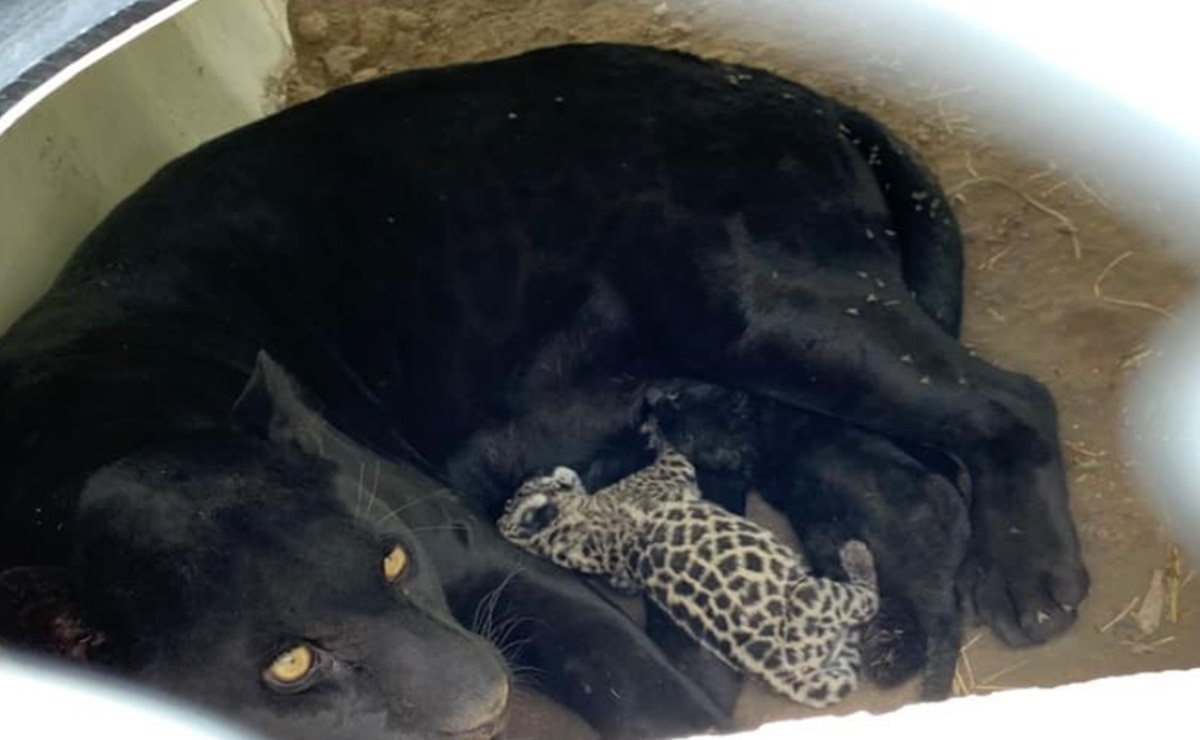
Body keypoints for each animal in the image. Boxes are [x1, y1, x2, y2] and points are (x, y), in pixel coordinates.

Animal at [497, 439, 880, 708]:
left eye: (522, 484)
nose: (537, 470)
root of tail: (781, 672)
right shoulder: (670, 472)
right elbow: (674, 450)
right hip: (811, 595)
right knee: (868, 600)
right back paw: (857, 556)